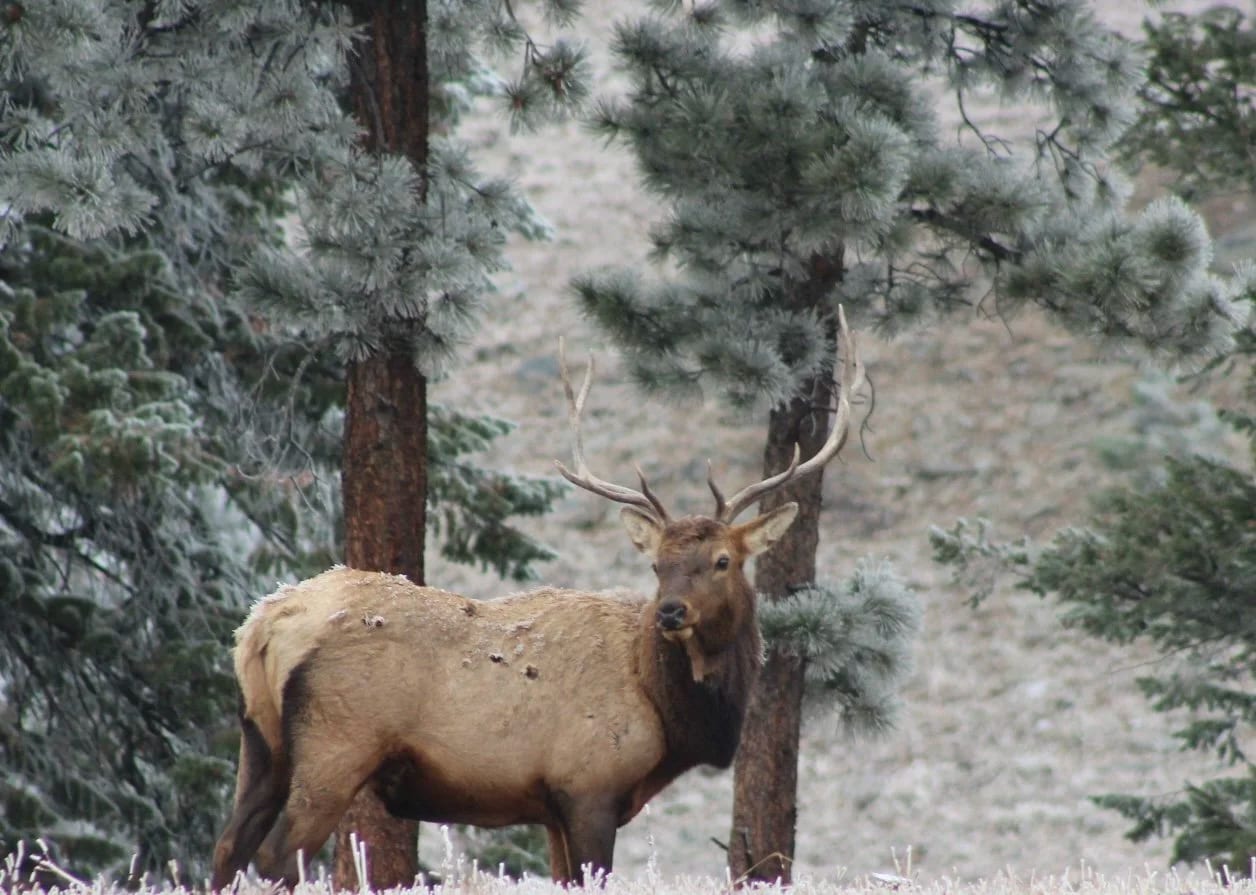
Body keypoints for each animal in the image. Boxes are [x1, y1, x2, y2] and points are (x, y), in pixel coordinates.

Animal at [209, 309, 865, 890]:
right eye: (657, 566)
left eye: (722, 561)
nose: (672, 612)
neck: (666, 711)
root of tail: (265, 624)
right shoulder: (589, 786)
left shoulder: (552, 808)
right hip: (336, 746)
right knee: (273, 860)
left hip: (260, 741)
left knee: (226, 849)